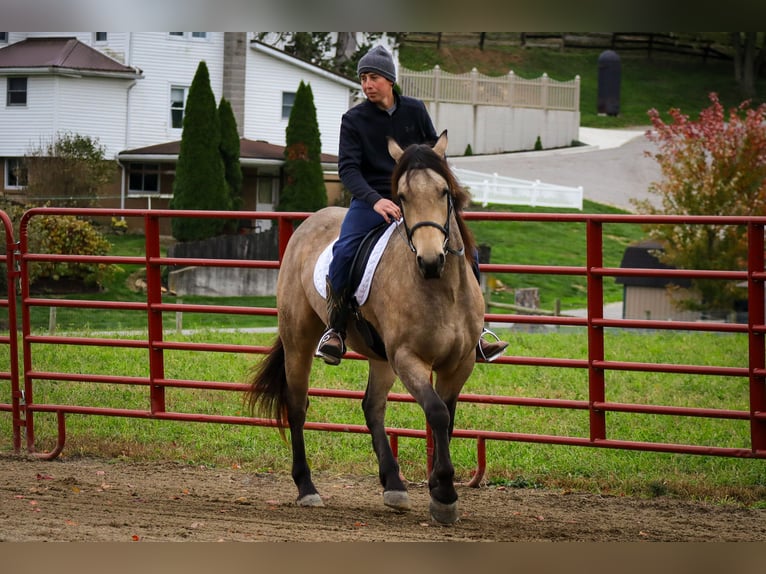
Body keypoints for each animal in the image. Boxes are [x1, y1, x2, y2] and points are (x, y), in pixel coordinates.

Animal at [245, 130, 485, 524]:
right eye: (401, 197)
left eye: (443, 191)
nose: (431, 260)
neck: (441, 289)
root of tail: (311, 220)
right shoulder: (407, 358)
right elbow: (436, 413)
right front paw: (445, 495)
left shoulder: (459, 363)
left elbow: (446, 420)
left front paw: (438, 488)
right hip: (300, 340)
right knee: (297, 406)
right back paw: (307, 488)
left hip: (380, 358)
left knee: (372, 408)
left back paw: (394, 485)